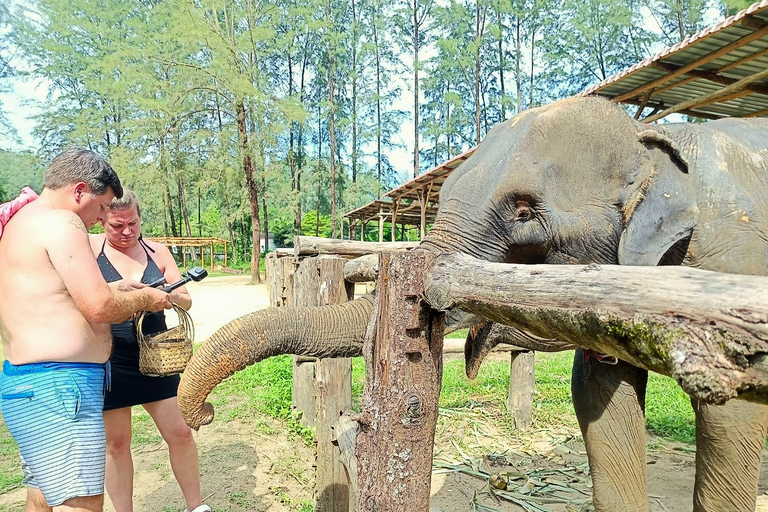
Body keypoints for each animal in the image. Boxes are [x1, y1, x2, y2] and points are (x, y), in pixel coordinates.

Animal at [177, 97, 768, 512]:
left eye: (525, 213)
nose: (204, 414)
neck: (655, 143)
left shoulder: (735, 265)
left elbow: (731, 415)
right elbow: (600, 396)